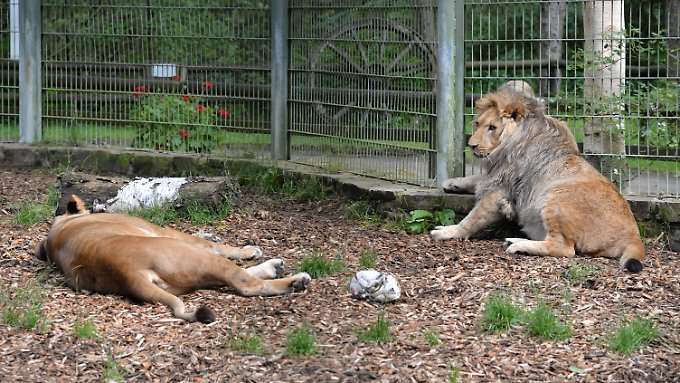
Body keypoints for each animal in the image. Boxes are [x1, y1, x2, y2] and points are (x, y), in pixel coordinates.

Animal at [37, 195, 314, 324]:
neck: (62, 226)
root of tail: (127, 273)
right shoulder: (165, 231)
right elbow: (214, 243)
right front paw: (248, 249)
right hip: (188, 253)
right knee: (244, 283)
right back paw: (295, 280)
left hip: (186, 277)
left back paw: (277, 268)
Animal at [432, 84, 644, 272]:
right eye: (477, 124)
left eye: (492, 127)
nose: (471, 145)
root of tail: (635, 236)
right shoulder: (496, 174)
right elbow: (475, 178)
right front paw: (452, 183)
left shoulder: (499, 188)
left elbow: (471, 219)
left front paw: (447, 231)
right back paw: (515, 239)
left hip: (555, 196)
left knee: (563, 248)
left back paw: (518, 245)